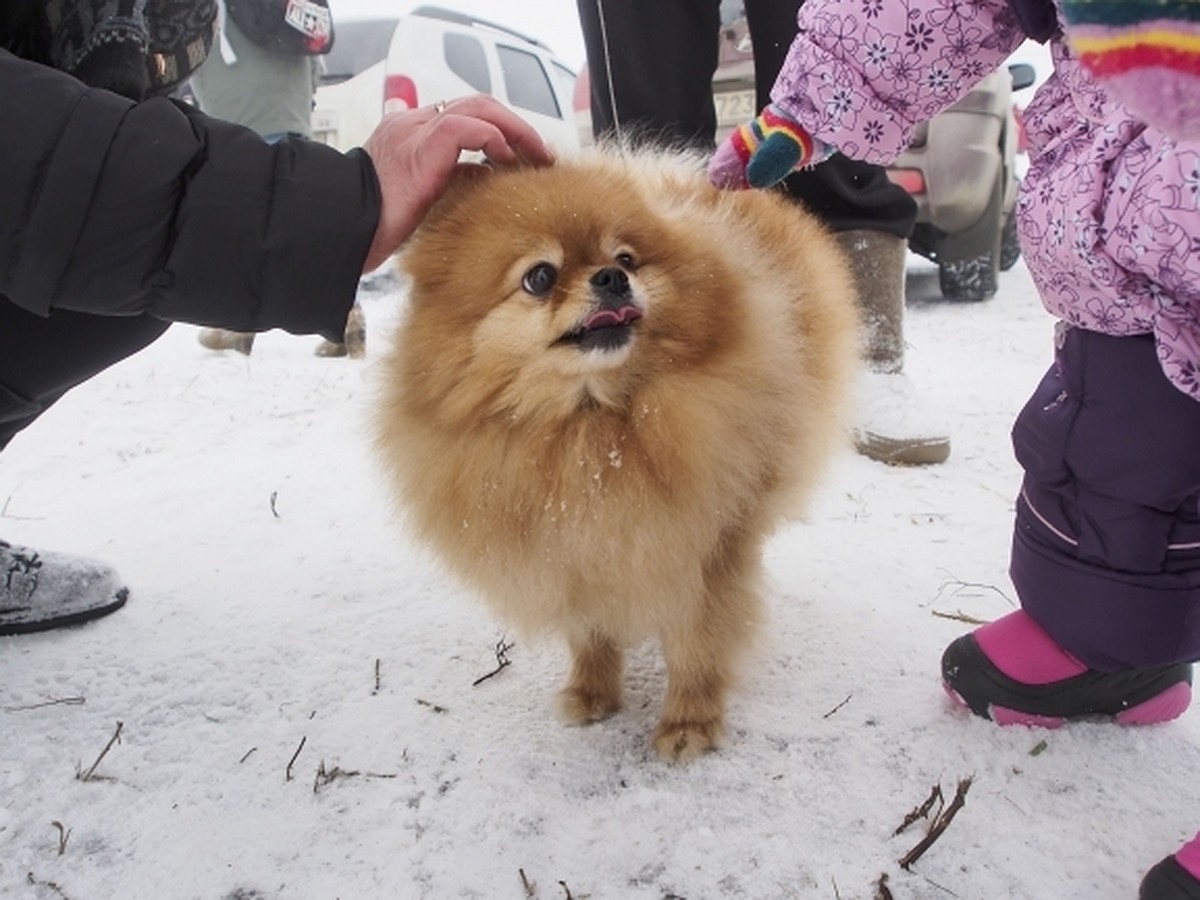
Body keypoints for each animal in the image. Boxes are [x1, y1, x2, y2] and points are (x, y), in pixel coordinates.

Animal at [374, 151, 854, 763]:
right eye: (539, 277)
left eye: (625, 258)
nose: (611, 277)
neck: (590, 426)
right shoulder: (575, 554)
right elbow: (590, 632)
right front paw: (592, 692)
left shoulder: (704, 552)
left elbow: (697, 643)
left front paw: (689, 723)